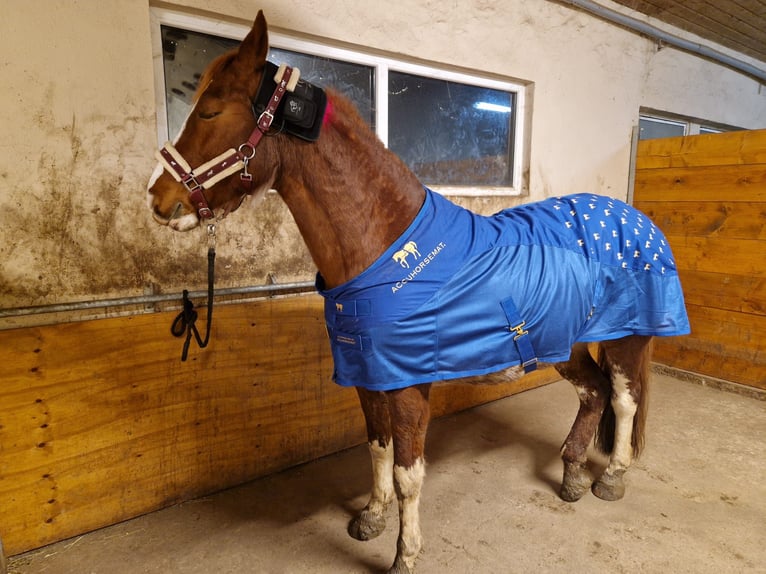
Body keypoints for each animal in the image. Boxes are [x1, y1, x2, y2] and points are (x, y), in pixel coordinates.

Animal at [147, 12, 690, 573]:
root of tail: (637, 219)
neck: (383, 249)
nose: (157, 200)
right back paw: (573, 474)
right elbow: (377, 449)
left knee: (623, 399)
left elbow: (409, 473)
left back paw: (611, 478)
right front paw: (371, 517)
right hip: (565, 341)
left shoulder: (409, 386)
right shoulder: (368, 375)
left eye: (210, 111)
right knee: (593, 393)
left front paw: (405, 554)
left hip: (627, 337)